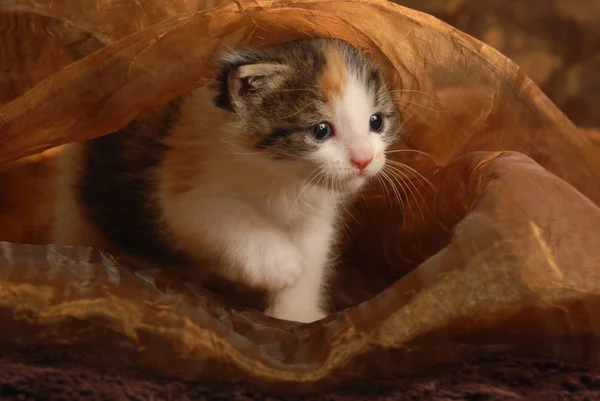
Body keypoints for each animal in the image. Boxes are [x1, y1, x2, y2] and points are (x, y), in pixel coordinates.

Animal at [51, 38, 398, 322]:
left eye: (376, 122)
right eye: (321, 130)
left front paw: (296, 314)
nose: (364, 159)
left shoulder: (316, 213)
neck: (282, 177)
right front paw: (280, 263)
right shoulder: (176, 192)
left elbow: (313, 255)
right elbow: (226, 212)